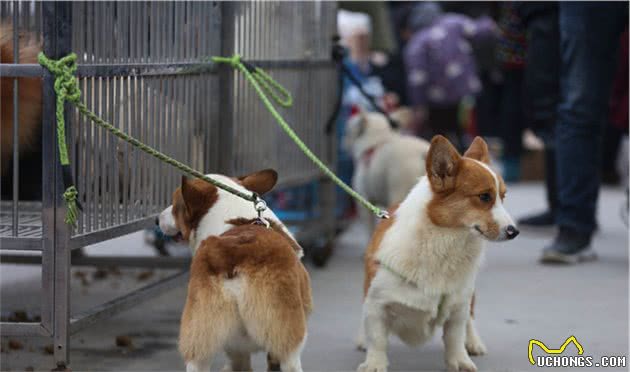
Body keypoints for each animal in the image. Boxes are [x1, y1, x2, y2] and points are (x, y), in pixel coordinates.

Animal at [358, 136, 520, 372]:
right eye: (484, 196)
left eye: (503, 196)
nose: (514, 231)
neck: (444, 243)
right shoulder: (377, 304)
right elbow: (377, 339)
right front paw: (374, 364)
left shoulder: (458, 307)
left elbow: (455, 338)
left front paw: (460, 361)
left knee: (470, 319)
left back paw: (474, 342)